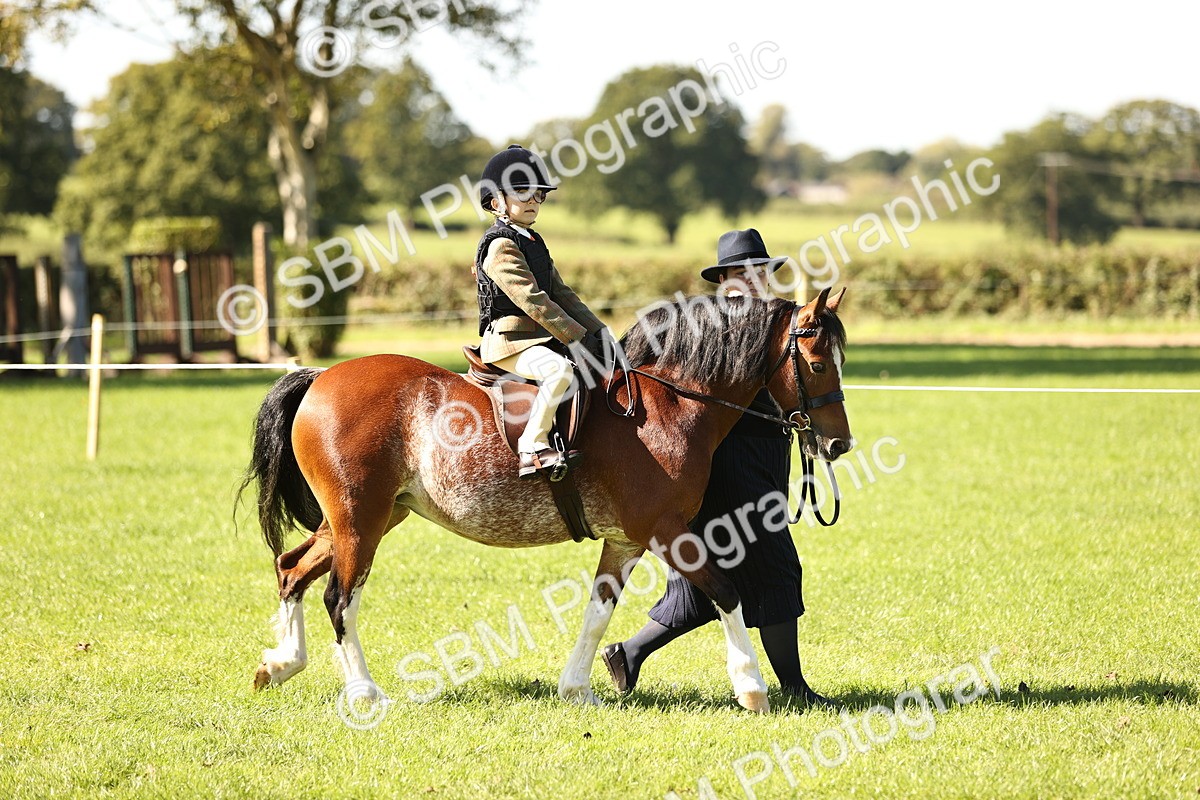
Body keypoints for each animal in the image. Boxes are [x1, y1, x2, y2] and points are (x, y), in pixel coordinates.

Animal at [238, 287, 853, 713]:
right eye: (819, 364)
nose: (839, 444)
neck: (668, 403)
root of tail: (320, 378)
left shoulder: (626, 541)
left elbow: (599, 610)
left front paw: (577, 688)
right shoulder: (666, 530)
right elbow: (727, 592)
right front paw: (751, 688)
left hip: (371, 518)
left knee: (292, 568)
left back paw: (280, 664)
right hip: (359, 521)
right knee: (339, 598)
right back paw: (365, 693)